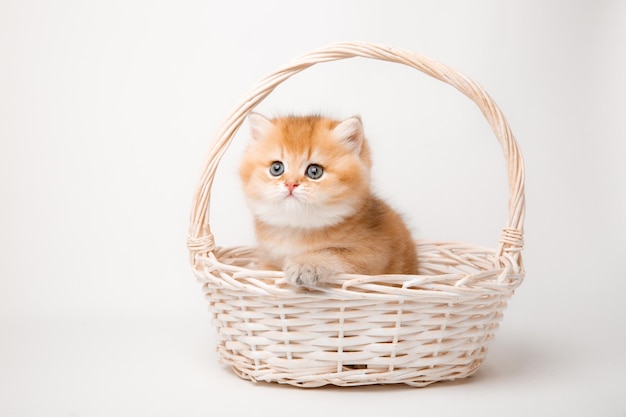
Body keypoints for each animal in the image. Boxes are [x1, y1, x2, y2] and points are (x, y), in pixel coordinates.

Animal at [239, 111, 420, 286]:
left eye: (314, 171)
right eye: (276, 168)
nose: (290, 184)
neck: (298, 229)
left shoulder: (373, 256)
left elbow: (333, 252)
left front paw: (305, 264)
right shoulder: (267, 257)